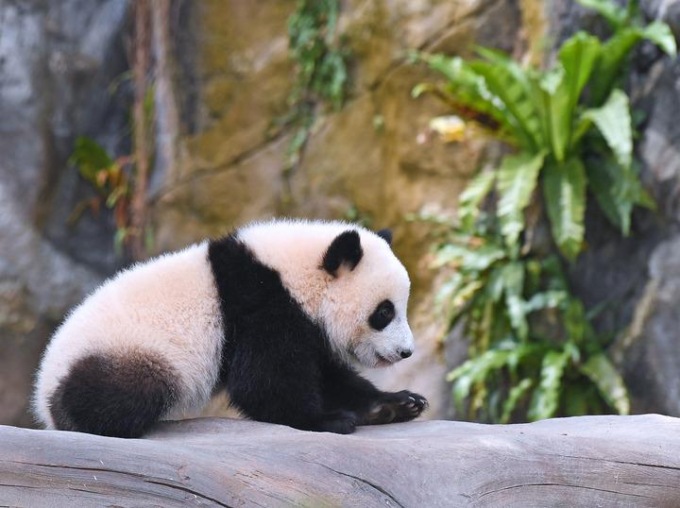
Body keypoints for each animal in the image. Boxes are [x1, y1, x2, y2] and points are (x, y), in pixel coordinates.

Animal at [33, 218, 428, 438]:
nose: (406, 352)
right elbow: (263, 382)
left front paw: (398, 403)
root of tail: (43, 395)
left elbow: (330, 376)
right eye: (384, 312)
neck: (294, 274)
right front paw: (326, 420)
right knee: (126, 392)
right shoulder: (261, 306)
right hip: (126, 352)